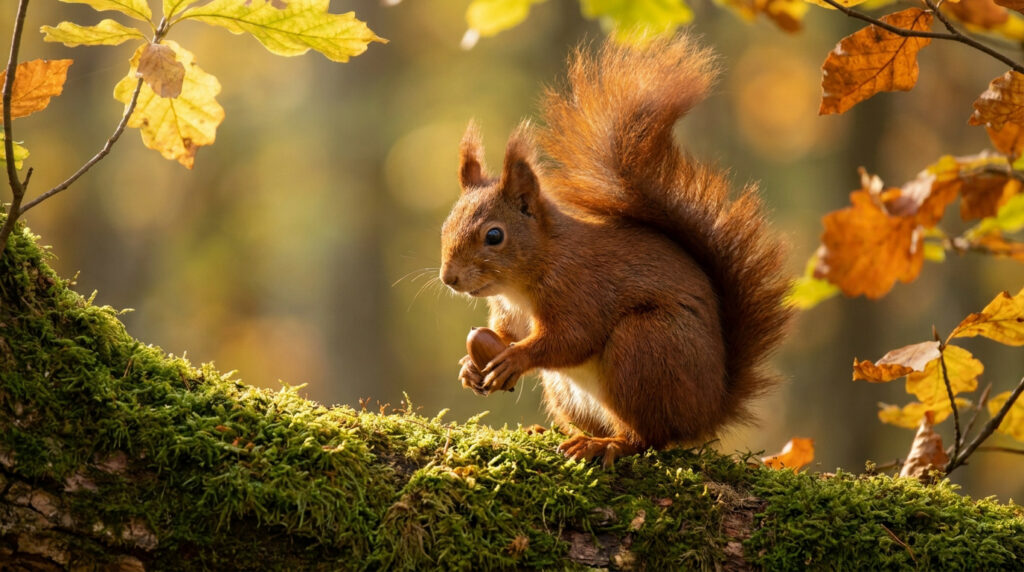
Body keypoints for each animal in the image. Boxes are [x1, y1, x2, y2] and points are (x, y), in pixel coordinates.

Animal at [439, 35, 792, 466]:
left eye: (494, 235)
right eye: (445, 226)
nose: (449, 278)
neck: (527, 277)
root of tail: (708, 411)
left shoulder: (579, 290)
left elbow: (572, 338)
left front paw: (516, 358)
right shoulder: (509, 314)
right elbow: (506, 334)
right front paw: (467, 367)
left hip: (644, 349)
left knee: (647, 436)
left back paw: (606, 444)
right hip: (568, 390)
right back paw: (557, 431)